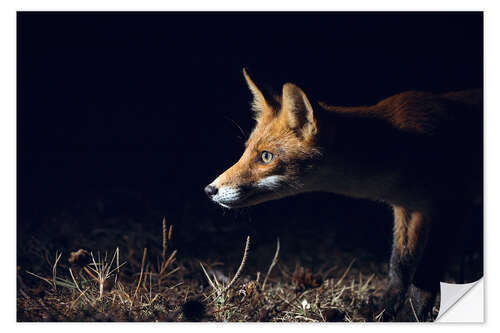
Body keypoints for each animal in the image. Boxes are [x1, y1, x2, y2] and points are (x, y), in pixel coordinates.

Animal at [205, 68, 482, 320]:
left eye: (265, 157)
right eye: (246, 151)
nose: (209, 190)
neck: (399, 149)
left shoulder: (449, 207)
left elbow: (424, 276)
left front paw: (411, 317)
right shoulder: (409, 208)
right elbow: (399, 267)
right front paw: (383, 312)